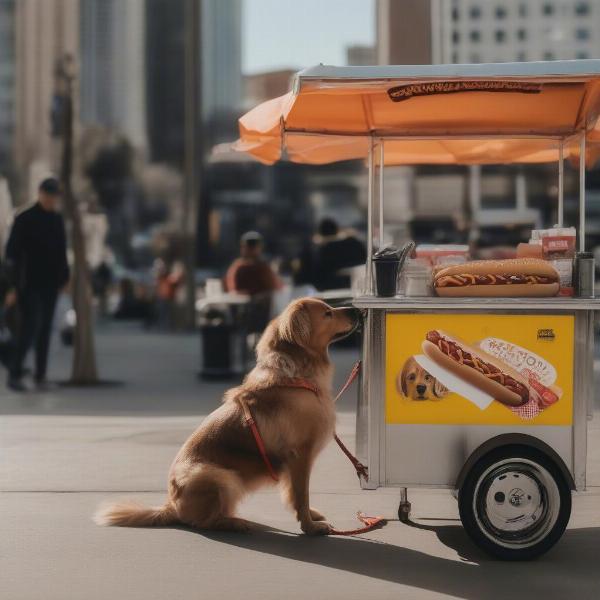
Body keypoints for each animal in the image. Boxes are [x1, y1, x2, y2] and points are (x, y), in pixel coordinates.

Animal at [93, 298, 356, 536]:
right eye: (327, 313)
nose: (355, 308)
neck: (296, 377)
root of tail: (171, 505)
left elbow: (294, 495)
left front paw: (310, 516)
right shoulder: (299, 455)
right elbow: (302, 494)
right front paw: (310, 527)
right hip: (218, 476)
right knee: (205, 522)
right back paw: (234, 523)